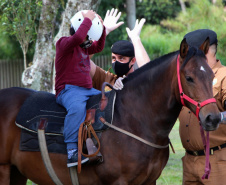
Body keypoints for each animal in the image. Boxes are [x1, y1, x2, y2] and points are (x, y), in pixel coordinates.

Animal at [0, 38, 221, 184]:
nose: (213, 118)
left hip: (17, 173)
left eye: (212, 75)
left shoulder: (150, 181)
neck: (134, 119)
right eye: (189, 77)